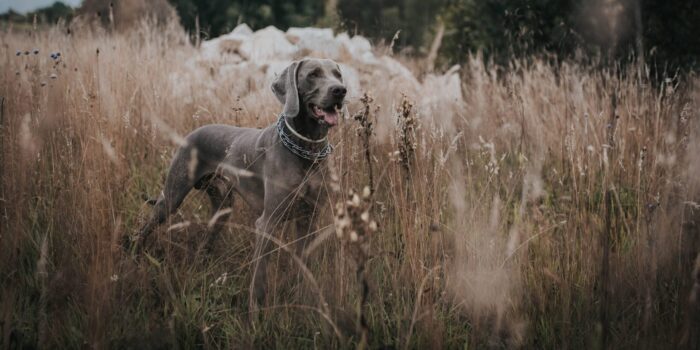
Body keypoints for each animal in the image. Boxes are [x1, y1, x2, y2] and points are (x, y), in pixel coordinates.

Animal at [129, 58, 348, 304]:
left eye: (338, 75)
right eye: (313, 74)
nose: (340, 91)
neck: (307, 151)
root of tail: (192, 132)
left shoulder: (309, 219)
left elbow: (305, 268)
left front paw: (306, 300)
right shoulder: (267, 222)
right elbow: (259, 278)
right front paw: (256, 311)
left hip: (222, 207)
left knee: (205, 241)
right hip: (171, 198)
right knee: (144, 230)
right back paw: (134, 260)